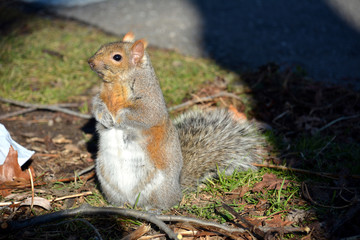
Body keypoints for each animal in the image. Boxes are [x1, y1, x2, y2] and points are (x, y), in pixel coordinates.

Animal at [88, 32, 266, 210]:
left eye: (117, 57)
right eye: (101, 47)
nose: (90, 61)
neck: (116, 84)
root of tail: (178, 189)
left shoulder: (150, 104)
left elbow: (141, 115)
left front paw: (118, 117)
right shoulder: (100, 96)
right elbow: (96, 105)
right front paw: (104, 116)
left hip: (159, 189)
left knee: (166, 203)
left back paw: (153, 209)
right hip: (107, 182)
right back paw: (117, 206)